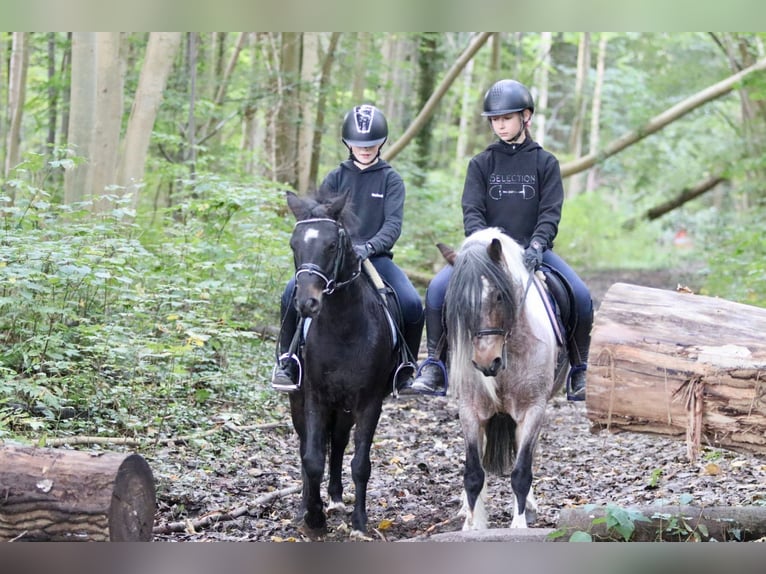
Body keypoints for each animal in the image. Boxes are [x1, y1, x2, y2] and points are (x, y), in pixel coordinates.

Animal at [284, 191, 400, 536]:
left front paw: (359, 522)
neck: (343, 327)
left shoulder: (369, 401)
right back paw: (307, 506)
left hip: (346, 407)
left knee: (338, 442)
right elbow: (311, 459)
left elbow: (360, 464)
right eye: (294, 245)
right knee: (310, 447)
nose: (307, 303)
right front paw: (313, 518)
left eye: (332, 245)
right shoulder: (314, 395)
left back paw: (336, 498)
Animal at [440, 227, 568, 532]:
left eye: (499, 296)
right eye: (458, 303)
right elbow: (473, 472)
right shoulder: (470, 410)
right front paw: (471, 526)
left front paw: (519, 524)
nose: (486, 361)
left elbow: (521, 471)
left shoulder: (533, 409)